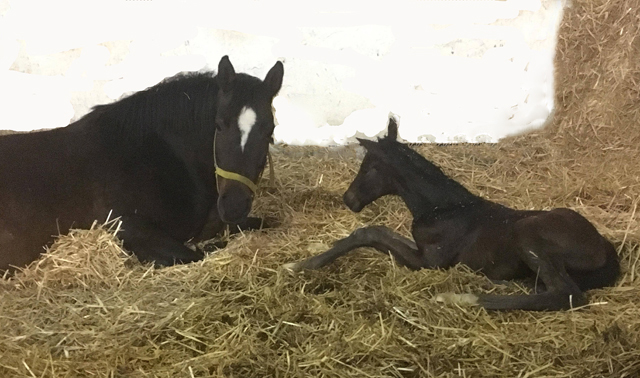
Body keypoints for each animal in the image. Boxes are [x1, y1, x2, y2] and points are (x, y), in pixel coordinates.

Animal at [284, 119, 616, 312]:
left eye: (369, 167)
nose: (348, 199)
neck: (444, 209)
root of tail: (605, 246)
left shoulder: (430, 261)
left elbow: (370, 232)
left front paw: (300, 264)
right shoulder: (421, 249)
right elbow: (381, 235)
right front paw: (312, 249)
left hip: (529, 234)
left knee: (564, 295)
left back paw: (459, 297)